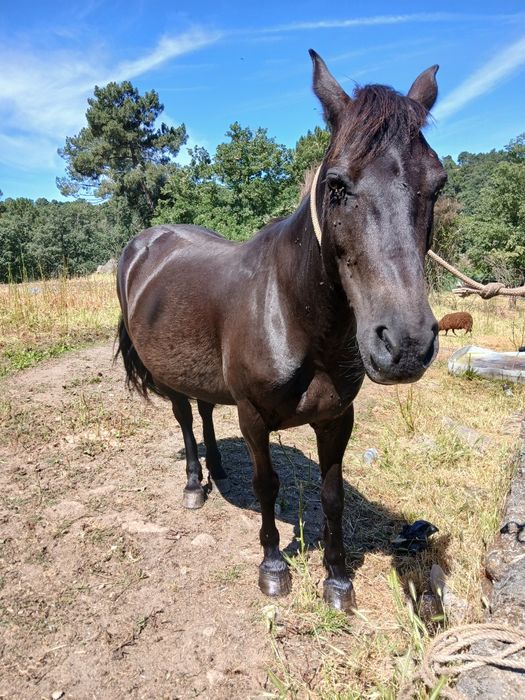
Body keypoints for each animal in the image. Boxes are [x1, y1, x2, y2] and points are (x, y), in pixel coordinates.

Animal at [116, 50, 446, 612]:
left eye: (437, 184)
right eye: (336, 184)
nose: (405, 345)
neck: (294, 317)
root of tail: (142, 245)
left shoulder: (337, 418)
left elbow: (332, 495)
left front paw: (337, 580)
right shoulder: (252, 416)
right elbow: (267, 485)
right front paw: (273, 568)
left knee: (206, 409)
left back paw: (218, 469)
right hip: (169, 376)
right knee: (185, 418)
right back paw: (195, 485)